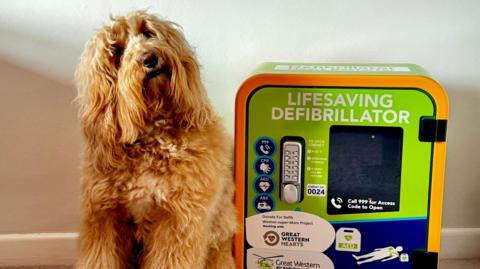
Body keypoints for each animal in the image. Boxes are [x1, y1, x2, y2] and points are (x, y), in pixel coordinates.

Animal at [74, 11, 236, 268]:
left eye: (147, 33)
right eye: (117, 51)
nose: (149, 58)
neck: (151, 136)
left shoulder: (178, 221)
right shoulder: (104, 216)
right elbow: (99, 259)